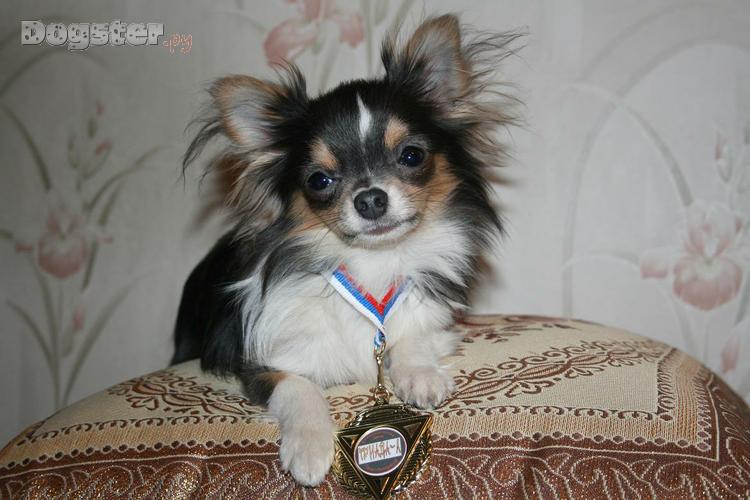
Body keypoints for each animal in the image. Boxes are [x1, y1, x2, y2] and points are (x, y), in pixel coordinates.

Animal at [172, 14, 518, 486]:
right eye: (320, 181)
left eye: (412, 156)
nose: (370, 198)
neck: (373, 263)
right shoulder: (260, 362)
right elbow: (299, 386)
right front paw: (310, 446)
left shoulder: (427, 319)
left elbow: (410, 337)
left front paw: (420, 374)